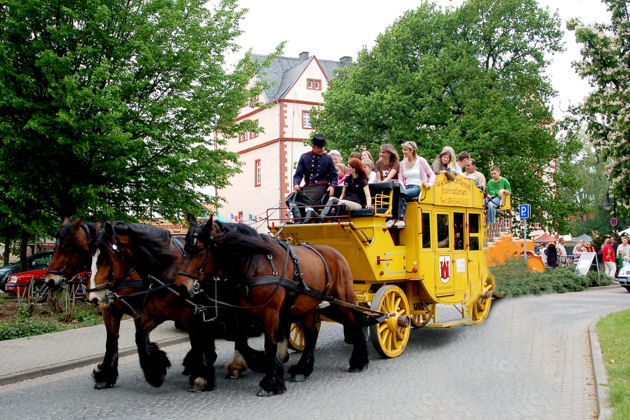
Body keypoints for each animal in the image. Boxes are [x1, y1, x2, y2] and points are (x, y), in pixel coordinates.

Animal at [89, 221, 264, 392]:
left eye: (104, 257)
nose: (93, 298)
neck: (167, 269)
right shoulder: (149, 313)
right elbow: (134, 338)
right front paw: (154, 372)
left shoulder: (191, 315)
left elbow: (196, 341)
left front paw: (200, 377)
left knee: (239, 334)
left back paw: (236, 365)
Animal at [175, 217, 370, 398]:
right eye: (185, 249)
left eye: (200, 249)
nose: (181, 286)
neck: (254, 264)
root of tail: (335, 252)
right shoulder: (241, 311)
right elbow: (241, 342)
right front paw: (262, 363)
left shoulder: (271, 312)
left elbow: (270, 344)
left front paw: (271, 381)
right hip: (307, 305)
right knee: (311, 334)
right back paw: (302, 369)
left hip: (343, 299)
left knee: (356, 322)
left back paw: (358, 361)